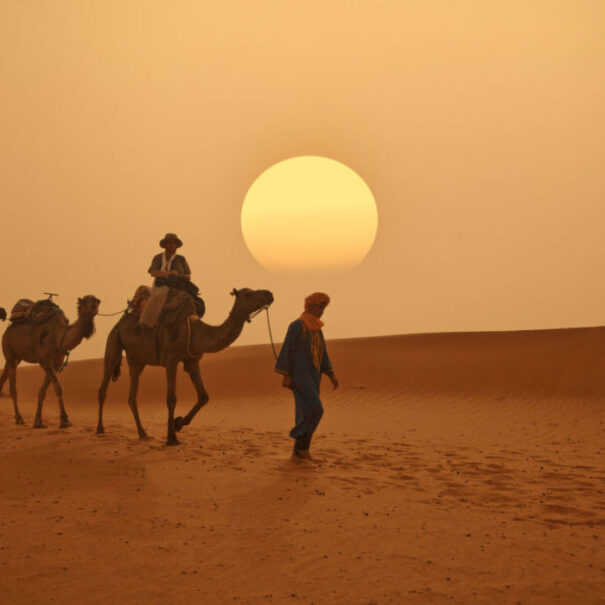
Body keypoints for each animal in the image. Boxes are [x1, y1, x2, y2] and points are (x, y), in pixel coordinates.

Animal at [0, 294, 100, 428]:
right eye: (86, 301)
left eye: (97, 301)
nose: (94, 306)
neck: (58, 337)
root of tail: (8, 330)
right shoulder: (44, 360)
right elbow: (58, 387)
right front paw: (64, 420)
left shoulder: (57, 363)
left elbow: (43, 391)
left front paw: (38, 421)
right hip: (7, 347)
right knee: (12, 387)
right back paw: (19, 419)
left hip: (16, 357)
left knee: (5, 374)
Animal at [97, 286, 274, 446]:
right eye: (249, 294)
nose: (269, 294)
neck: (195, 331)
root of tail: (120, 322)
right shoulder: (171, 361)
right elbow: (171, 399)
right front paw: (171, 438)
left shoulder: (192, 361)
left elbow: (204, 396)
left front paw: (178, 423)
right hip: (114, 342)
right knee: (104, 386)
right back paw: (100, 428)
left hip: (137, 360)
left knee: (132, 395)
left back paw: (142, 433)